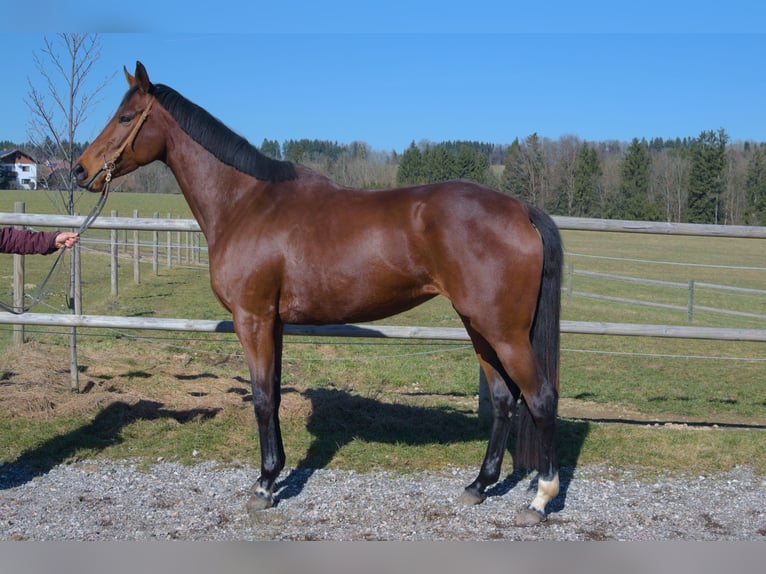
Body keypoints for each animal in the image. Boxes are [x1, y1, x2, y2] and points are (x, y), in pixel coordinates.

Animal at [75, 61, 563, 527]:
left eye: (125, 116)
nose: (80, 170)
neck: (246, 203)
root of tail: (521, 208)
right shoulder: (272, 323)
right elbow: (272, 392)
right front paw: (274, 474)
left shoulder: (252, 319)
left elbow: (261, 398)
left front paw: (264, 487)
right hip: (479, 326)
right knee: (503, 399)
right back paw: (479, 485)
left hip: (504, 332)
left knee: (540, 398)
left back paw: (539, 500)